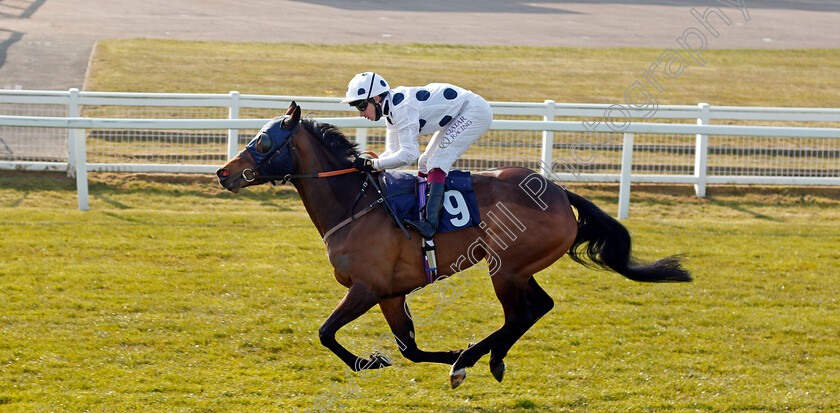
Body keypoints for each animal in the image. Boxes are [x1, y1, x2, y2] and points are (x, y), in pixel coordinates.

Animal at [215, 101, 688, 388]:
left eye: (263, 141)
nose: (223, 172)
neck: (355, 203)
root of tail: (557, 191)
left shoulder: (367, 288)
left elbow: (326, 332)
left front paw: (374, 362)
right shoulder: (392, 293)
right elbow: (409, 348)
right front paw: (434, 355)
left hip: (505, 267)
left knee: (520, 314)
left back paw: (472, 360)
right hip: (518, 268)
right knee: (540, 307)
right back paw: (489, 358)